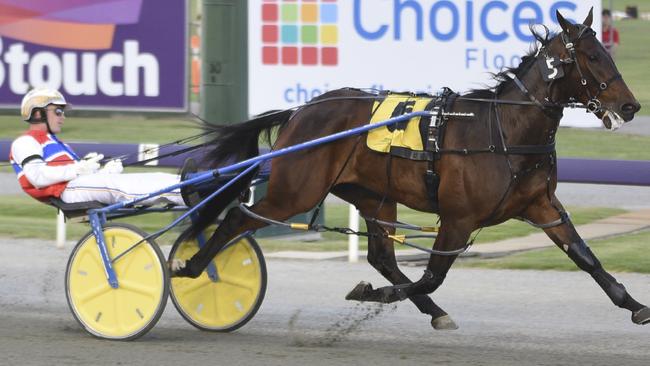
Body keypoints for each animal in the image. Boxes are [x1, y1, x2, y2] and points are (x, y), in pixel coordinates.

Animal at [173, 9, 648, 328]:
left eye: (606, 49)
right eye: (591, 56)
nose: (630, 106)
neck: (505, 131)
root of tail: (301, 110)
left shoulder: (542, 205)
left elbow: (585, 257)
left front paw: (636, 306)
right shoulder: (458, 217)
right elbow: (433, 276)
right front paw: (374, 294)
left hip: (372, 195)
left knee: (381, 255)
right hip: (296, 190)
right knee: (237, 218)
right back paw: (192, 268)